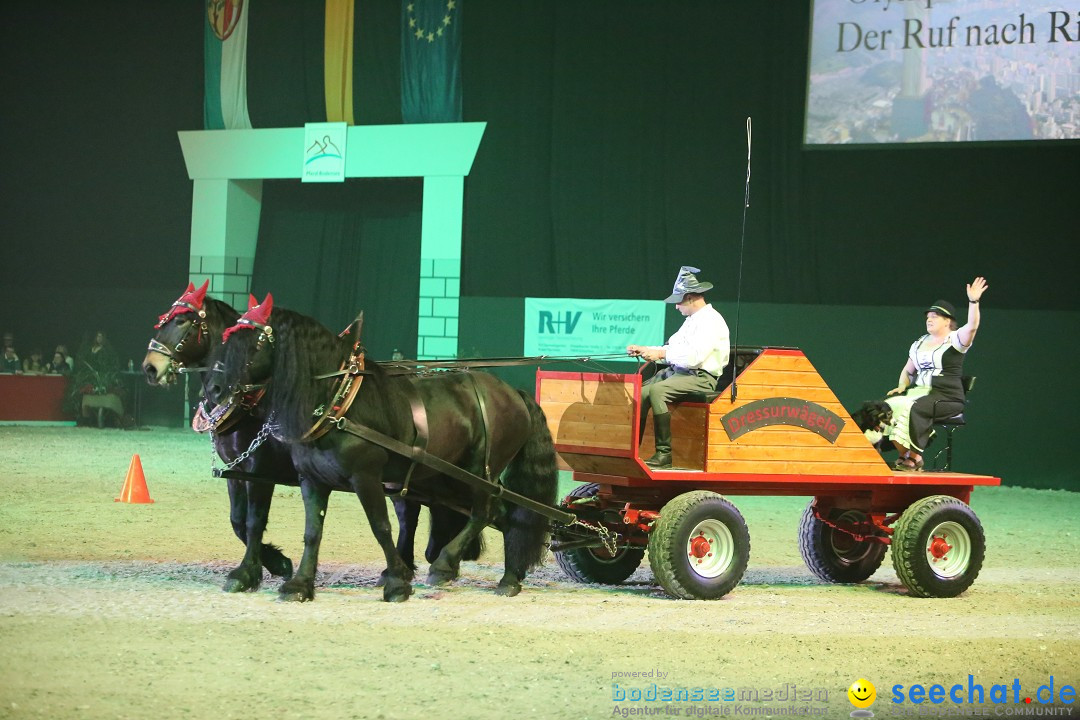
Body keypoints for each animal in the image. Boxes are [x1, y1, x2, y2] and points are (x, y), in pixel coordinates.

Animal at [141, 280, 470, 591]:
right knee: (410, 511)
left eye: (182, 321)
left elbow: (253, 521)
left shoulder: (260, 470)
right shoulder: (237, 470)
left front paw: (255, 570)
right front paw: (274, 562)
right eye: (166, 319)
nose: (150, 368)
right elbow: (237, 521)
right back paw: (405, 565)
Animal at [204, 293, 557, 604]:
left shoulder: (365, 477)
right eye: (226, 340)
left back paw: (451, 566)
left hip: (479, 473)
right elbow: (312, 532)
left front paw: (397, 583)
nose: (214, 389)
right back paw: (508, 577)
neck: (339, 402)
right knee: (503, 516)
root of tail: (514, 393)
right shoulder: (311, 480)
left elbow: (381, 527)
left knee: (485, 513)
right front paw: (299, 584)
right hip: (450, 478)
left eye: (257, 343)